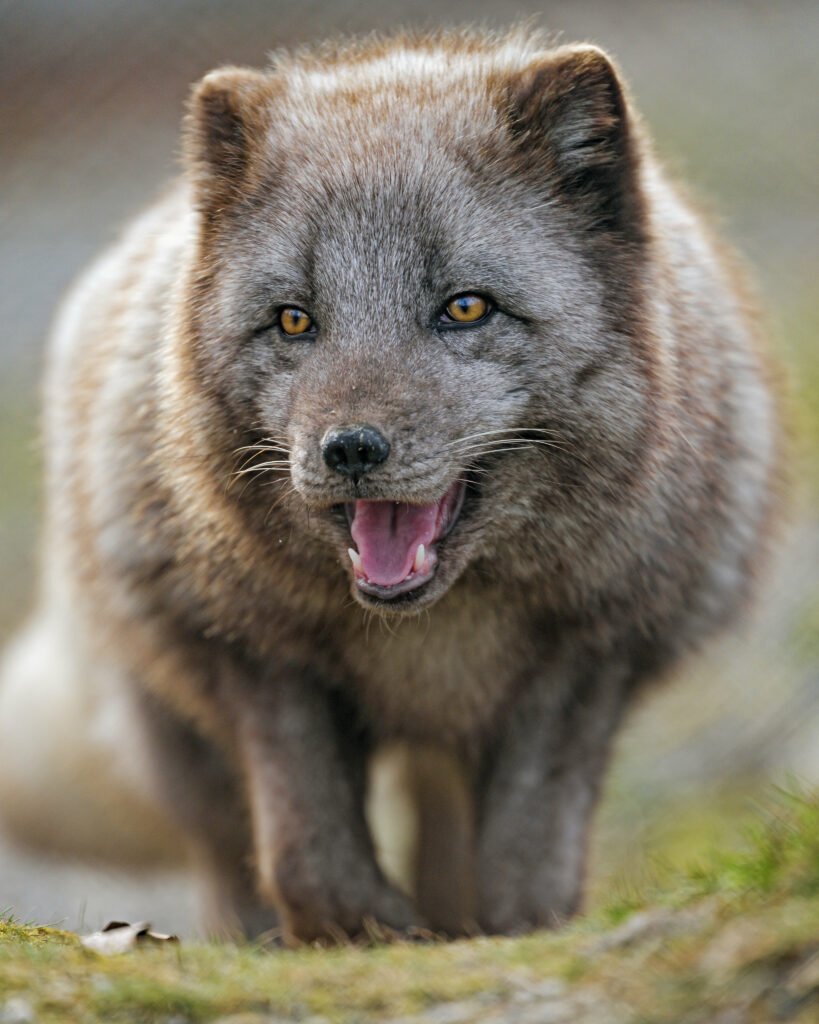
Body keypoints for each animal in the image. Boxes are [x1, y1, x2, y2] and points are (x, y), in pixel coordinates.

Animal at [0, 29, 779, 943]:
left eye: (466, 308)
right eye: (294, 319)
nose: (347, 450)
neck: (429, 639)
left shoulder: (588, 662)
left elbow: (527, 870)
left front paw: (499, 936)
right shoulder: (258, 658)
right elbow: (308, 862)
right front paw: (369, 931)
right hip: (170, 715)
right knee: (225, 854)